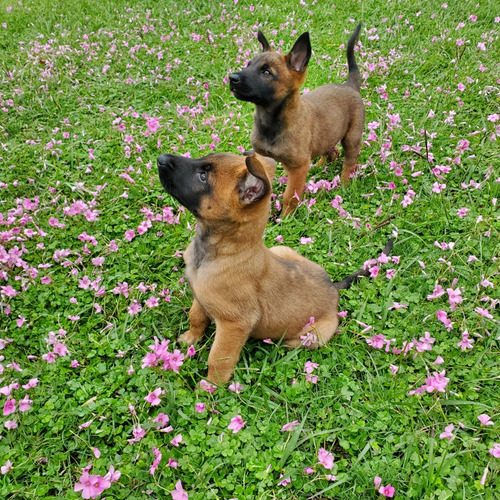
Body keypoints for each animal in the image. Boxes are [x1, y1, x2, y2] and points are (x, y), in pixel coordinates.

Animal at [156, 150, 390, 384]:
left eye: (203, 177)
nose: (161, 158)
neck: (221, 253)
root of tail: (334, 287)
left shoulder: (235, 324)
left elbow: (219, 358)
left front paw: (209, 387)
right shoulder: (200, 297)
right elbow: (196, 317)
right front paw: (189, 339)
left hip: (314, 335)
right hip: (281, 249)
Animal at [229, 23, 364, 215]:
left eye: (266, 72)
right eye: (248, 65)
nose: (232, 78)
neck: (272, 122)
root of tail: (349, 85)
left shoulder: (297, 168)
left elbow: (290, 196)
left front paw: (285, 217)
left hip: (352, 137)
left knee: (349, 162)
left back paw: (344, 184)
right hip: (327, 134)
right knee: (332, 153)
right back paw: (319, 166)